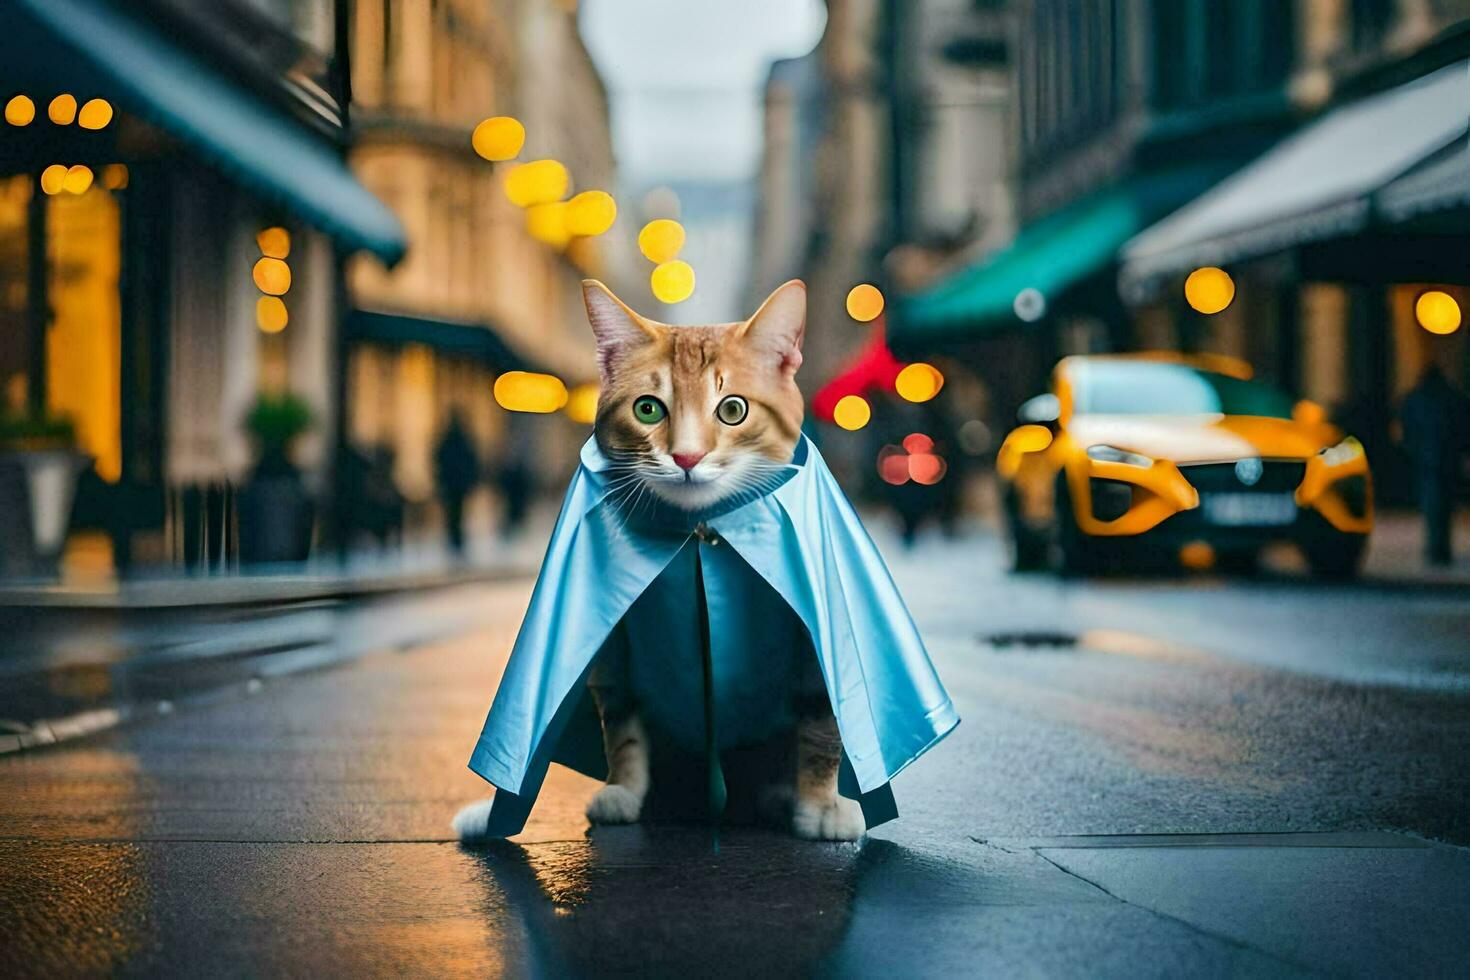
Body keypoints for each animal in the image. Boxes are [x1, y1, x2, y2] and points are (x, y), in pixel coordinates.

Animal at [576, 277, 864, 846]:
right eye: (648, 409)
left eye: (732, 410)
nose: (686, 458)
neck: (699, 529)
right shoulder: (616, 642)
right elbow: (620, 719)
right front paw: (625, 788)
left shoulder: (811, 632)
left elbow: (822, 721)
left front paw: (818, 803)